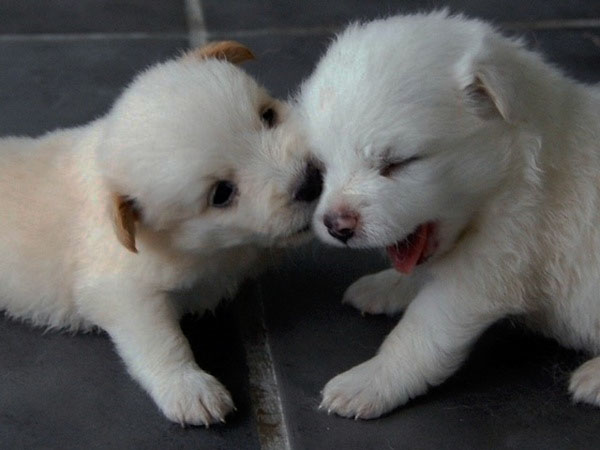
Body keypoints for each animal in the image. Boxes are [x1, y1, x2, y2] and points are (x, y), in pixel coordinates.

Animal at [0, 41, 324, 426]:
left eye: (268, 116)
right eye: (222, 193)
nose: (311, 182)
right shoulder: (123, 293)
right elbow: (161, 340)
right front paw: (189, 388)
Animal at [298, 9, 600, 418]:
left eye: (397, 163)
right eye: (322, 167)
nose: (335, 225)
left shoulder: (489, 268)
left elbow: (420, 332)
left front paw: (369, 381)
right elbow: (418, 275)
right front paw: (385, 285)